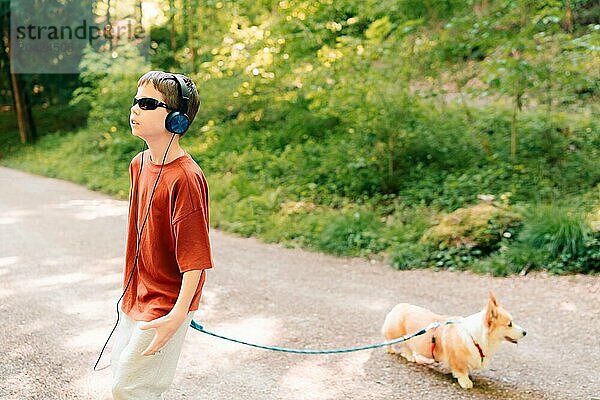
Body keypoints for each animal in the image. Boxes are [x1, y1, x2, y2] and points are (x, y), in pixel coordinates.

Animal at [382, 292, 528, 390]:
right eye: (509, 324)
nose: (525, 332)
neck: (475, 337)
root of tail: (399, 306)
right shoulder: (456, 359)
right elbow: (461, 371)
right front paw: (466, 382)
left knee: (407, 346)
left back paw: (411, 357)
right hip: (393, 333)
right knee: (388, 341)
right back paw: (391, 350)